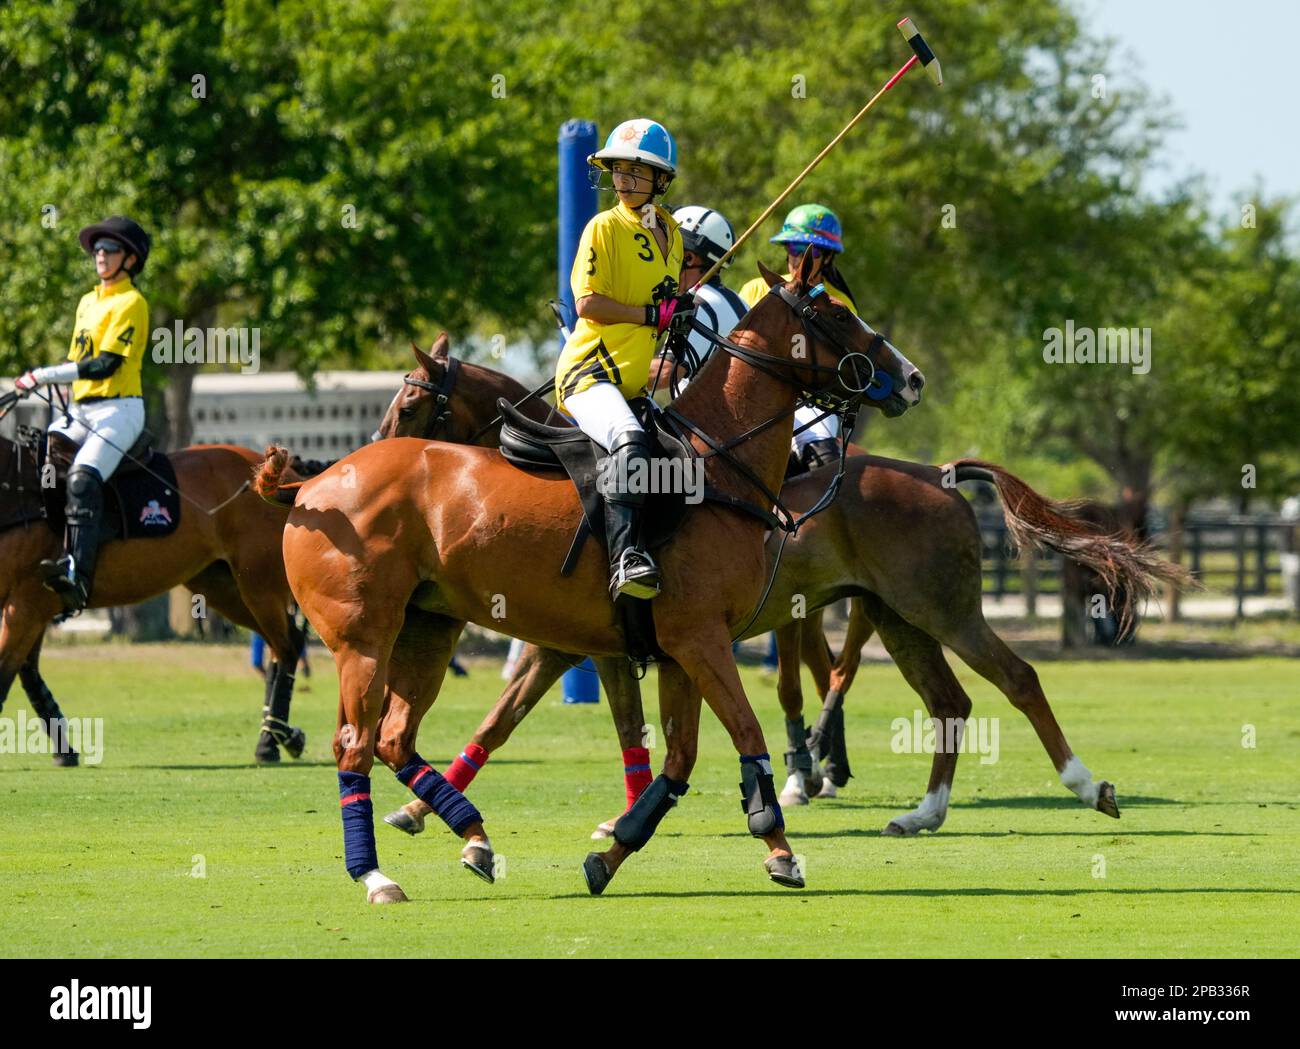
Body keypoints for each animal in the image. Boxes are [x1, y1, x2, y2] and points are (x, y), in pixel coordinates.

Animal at [253, 252, 925, 904]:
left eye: (411, 407)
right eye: (835, 314)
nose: (912, 378)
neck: (715, 467)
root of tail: (311, 487)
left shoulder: (675, 648)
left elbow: (677, 758)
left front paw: (613, 850)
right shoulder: (694, 639)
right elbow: (738, 731)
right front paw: (779, 850)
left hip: (429, 628)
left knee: (393, 736)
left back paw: (475, 837)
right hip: (364, 639)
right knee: (355, 744)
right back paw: (376, 875)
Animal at [374, 345, 1190, 847]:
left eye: (411, 404)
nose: (371, 454)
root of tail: (940, 474)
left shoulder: (583, 648)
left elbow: (567, 720)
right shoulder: (582, 647)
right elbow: (516, 721)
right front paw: (420, 808)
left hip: (943, 609)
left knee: (1015, 678)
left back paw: (1085, 785)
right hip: (898, 616)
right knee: (946, 701)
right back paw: (917, 812)